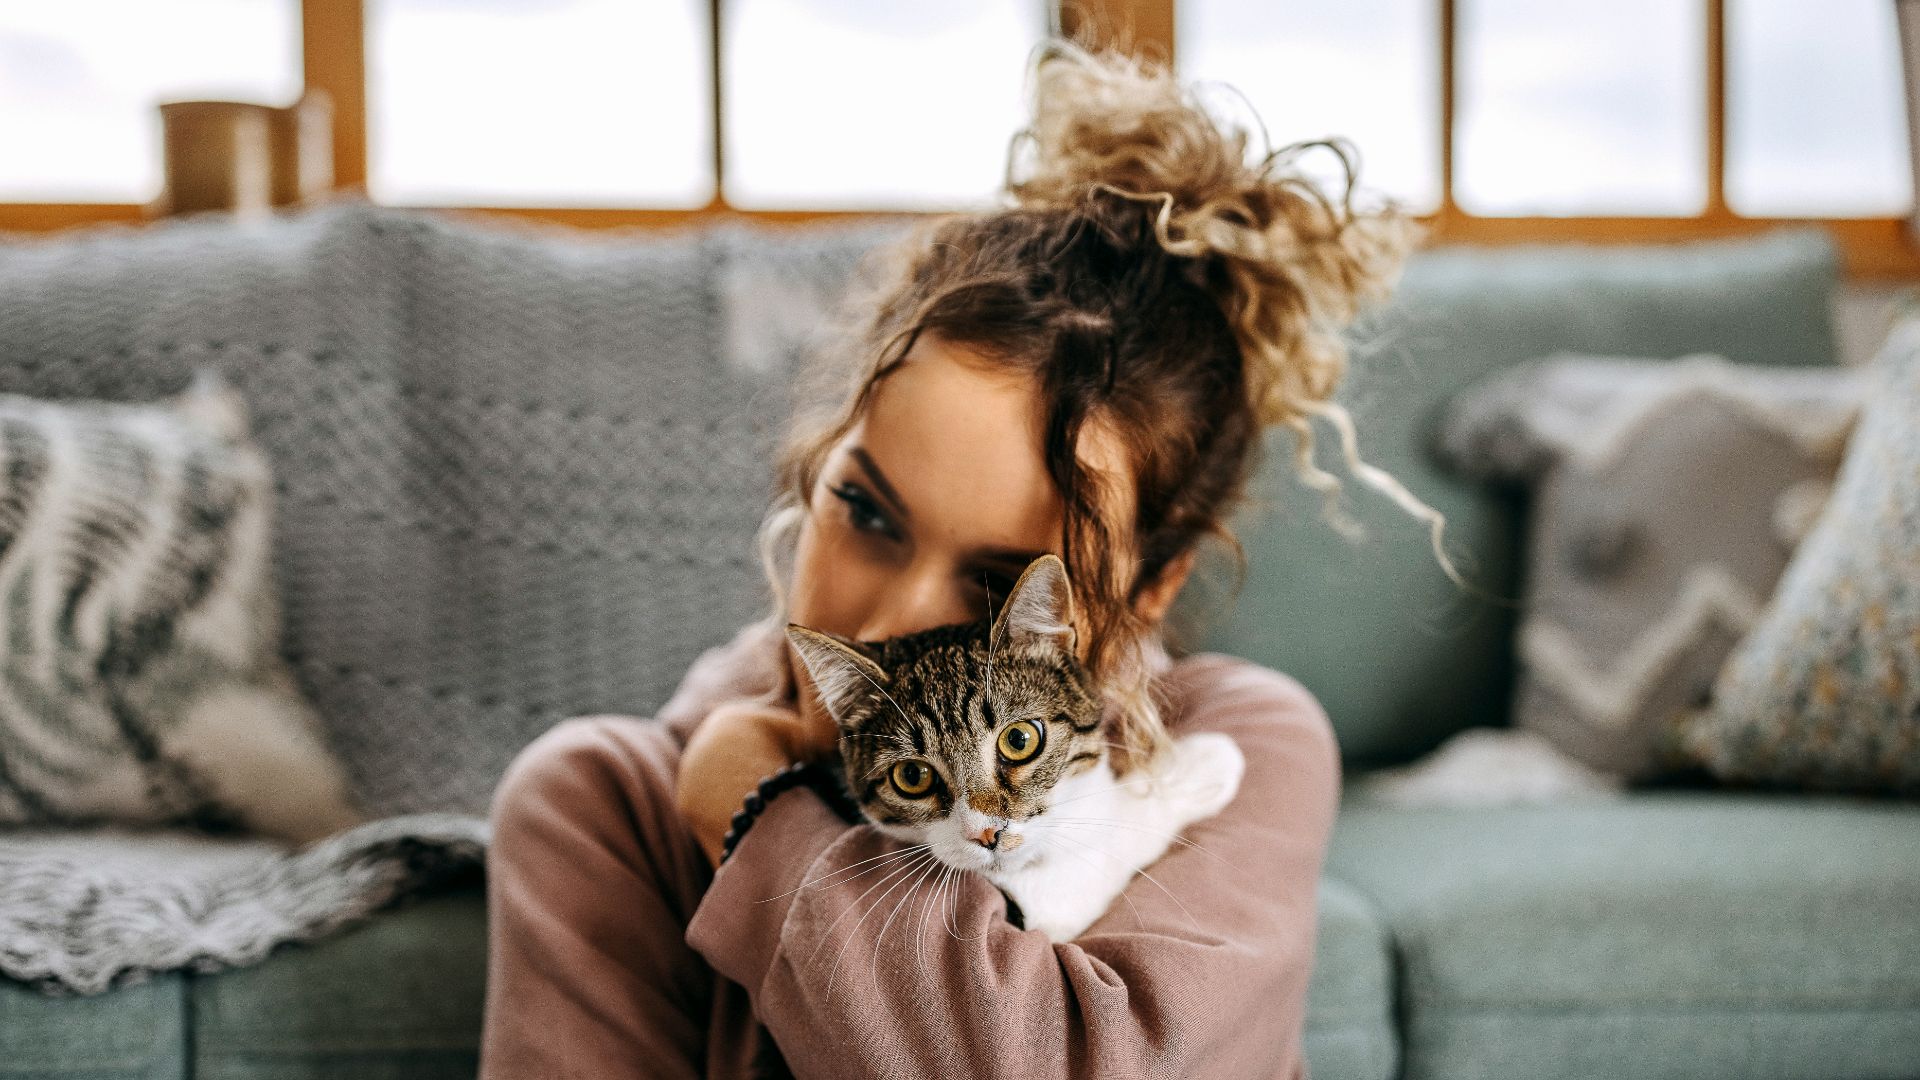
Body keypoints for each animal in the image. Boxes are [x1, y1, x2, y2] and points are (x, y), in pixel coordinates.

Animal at [783, 549, 1244, 937]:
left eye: (1019, 739)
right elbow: (1113, 842)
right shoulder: (1043, 905)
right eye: (912, 776)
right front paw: (1201, 764)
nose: (987, 833)